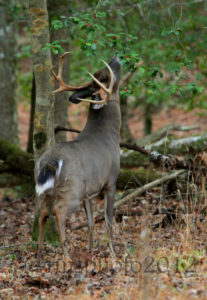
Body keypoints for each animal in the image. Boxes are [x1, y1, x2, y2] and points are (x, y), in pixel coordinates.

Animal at [34, 51, 120, 258]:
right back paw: (66, 257)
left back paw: (39, 255)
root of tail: (50, 160)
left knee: (42, 212)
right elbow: (108, 221)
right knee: (58, 211)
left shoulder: (90, 191)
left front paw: (90, 252)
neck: (110, 134)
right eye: (110, 78)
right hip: (73, 188)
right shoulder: (111, 182)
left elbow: (90, 222)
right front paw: (114, 254)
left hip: (49, 189)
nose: (116, 56)